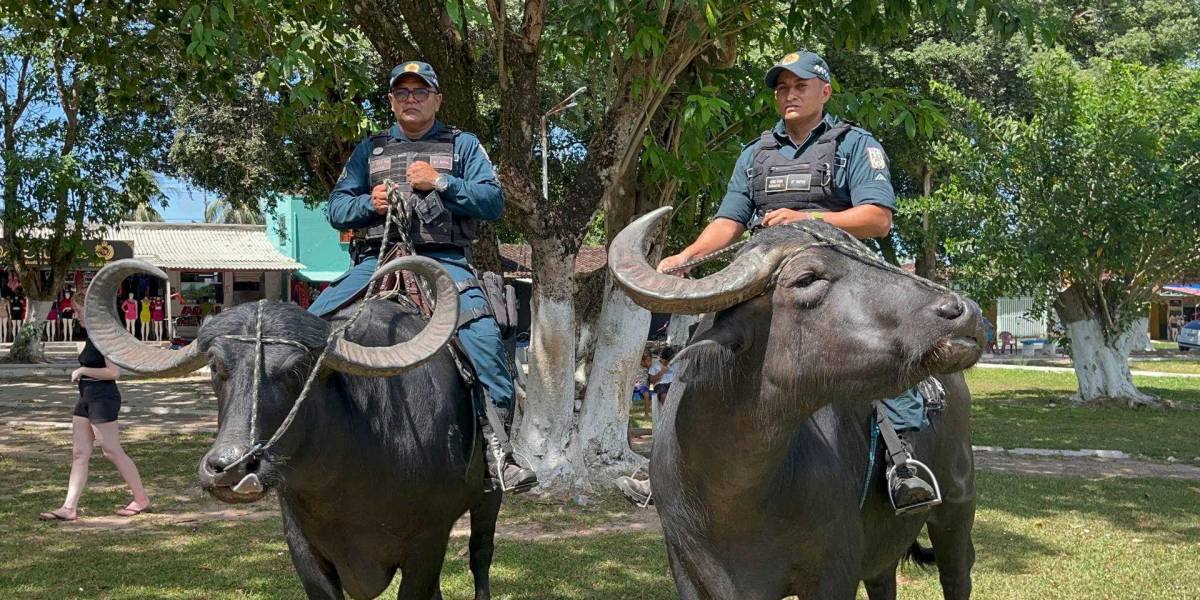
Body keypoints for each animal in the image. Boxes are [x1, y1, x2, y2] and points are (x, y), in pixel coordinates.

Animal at [87, 256, 501, 600]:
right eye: (217, 366)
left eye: (297, 371)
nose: (229, 468)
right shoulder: (304, 550)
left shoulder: (427, 545)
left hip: (489, 498)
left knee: (480, 555)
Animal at [609, 207, 984, 600]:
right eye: (807, 278)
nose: (964, 310)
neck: (734, 493)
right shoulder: (686, 571)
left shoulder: (834, 572)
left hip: (957, 506)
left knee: (957, 573)